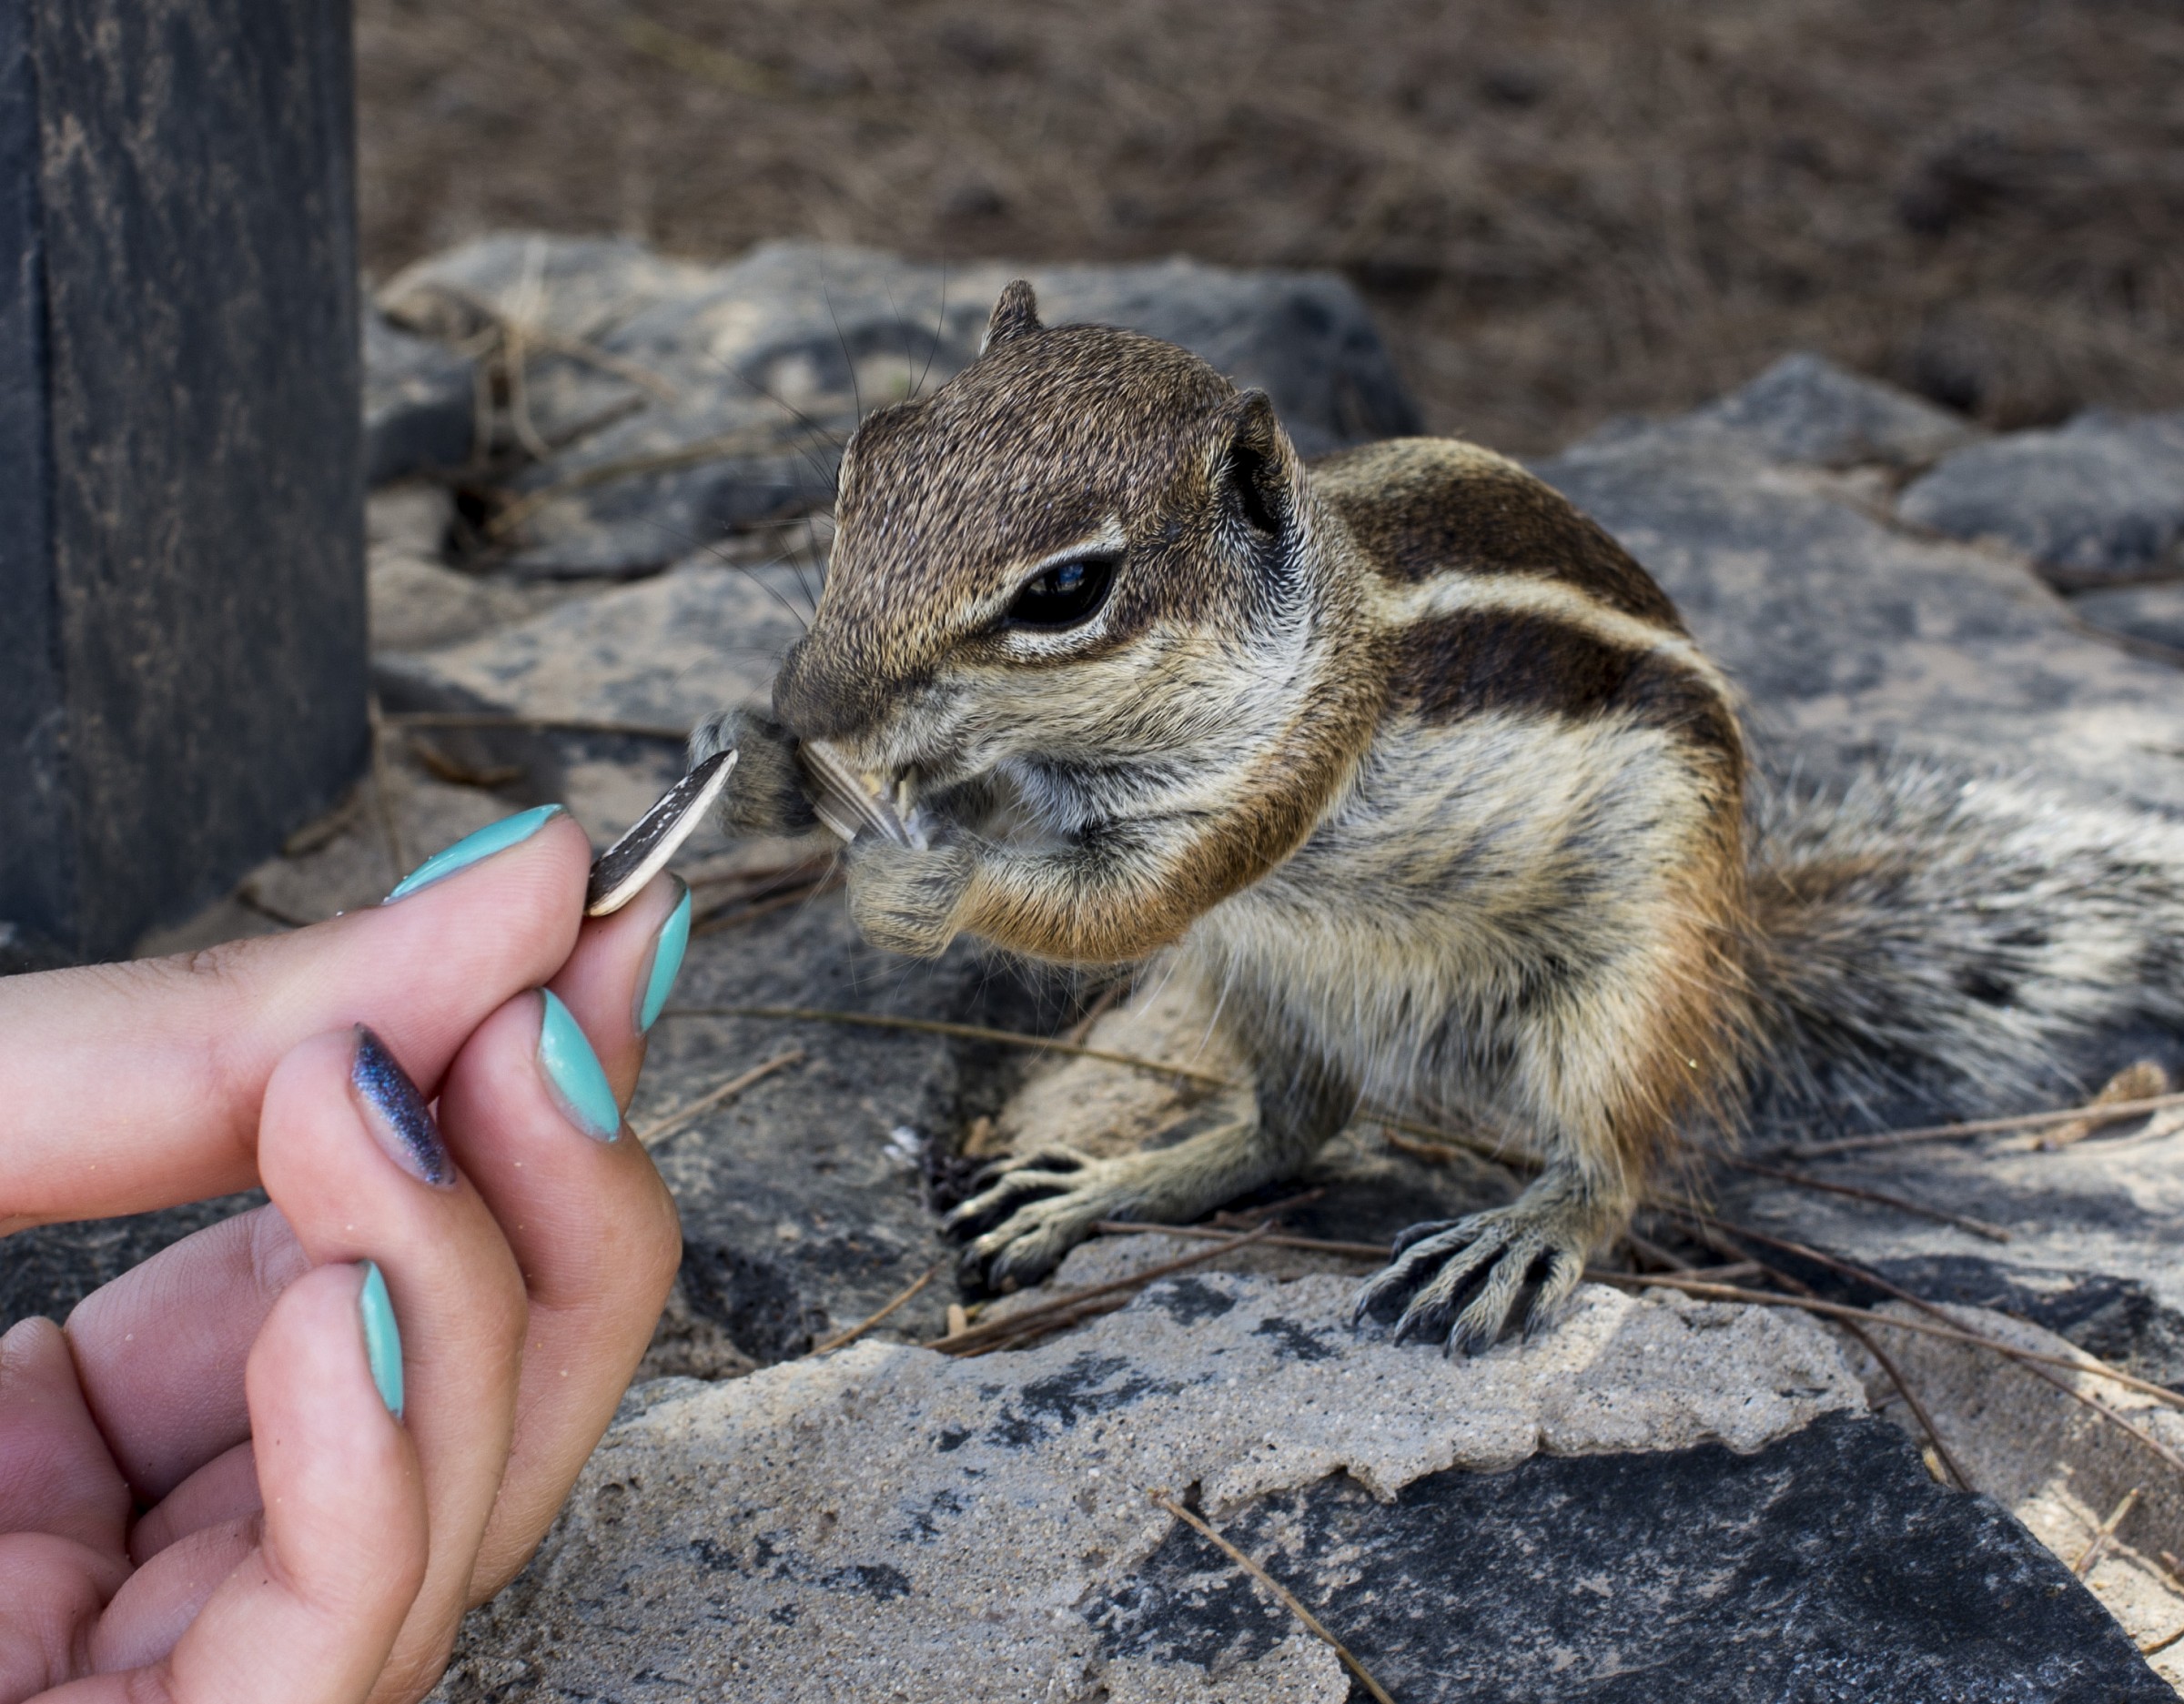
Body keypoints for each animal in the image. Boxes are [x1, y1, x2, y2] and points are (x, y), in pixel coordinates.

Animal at [693, 279, 2184, 1352]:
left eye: (1066, 589)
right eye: (863, 460)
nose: (806, 701)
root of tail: (1740, 950)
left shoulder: (1285, 773)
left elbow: (1117, 903)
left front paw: (913, 879)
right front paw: (757, 764)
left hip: (1628, 979)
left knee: (1617, 1164)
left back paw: (1517, 1234)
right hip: (1258, 976)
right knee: (1296, 1124)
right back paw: (1105, 1185)